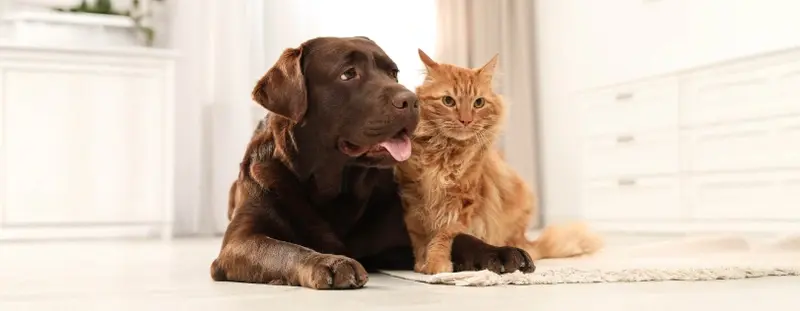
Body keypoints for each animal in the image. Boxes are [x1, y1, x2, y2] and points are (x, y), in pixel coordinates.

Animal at [209, 36, 520, 290]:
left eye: (393, 73)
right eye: (348, 74)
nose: (412, 101)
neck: (335, 187)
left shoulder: (399, 236)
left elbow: (449, 237)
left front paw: (498, 251)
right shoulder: (240, 242)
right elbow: (284, 249)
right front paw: (330, 262)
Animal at [396, 49, 604, 276]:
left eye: (478, 103)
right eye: (448, 101)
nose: (466, 120)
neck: (445, 153)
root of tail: (524, 240)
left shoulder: (462, 202)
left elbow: (445, 235)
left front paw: (436, 263)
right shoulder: (413, 198)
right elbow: (419, 237)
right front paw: (423, 263)